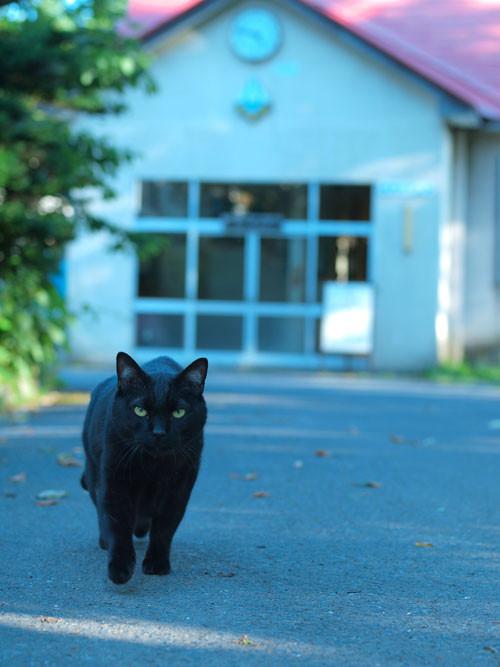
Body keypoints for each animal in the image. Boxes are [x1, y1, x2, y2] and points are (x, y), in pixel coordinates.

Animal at [81, 352, 208, 584]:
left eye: (179, 413)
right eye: (140, 411)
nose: (158, 432)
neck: (152, 465)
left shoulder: (179, 487)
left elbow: (165, 526)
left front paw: (157, 563)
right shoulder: (115, 481)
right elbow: (118, 524)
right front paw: (120, 568)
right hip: (94, 471)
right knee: (101, 508)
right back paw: (106, 540)